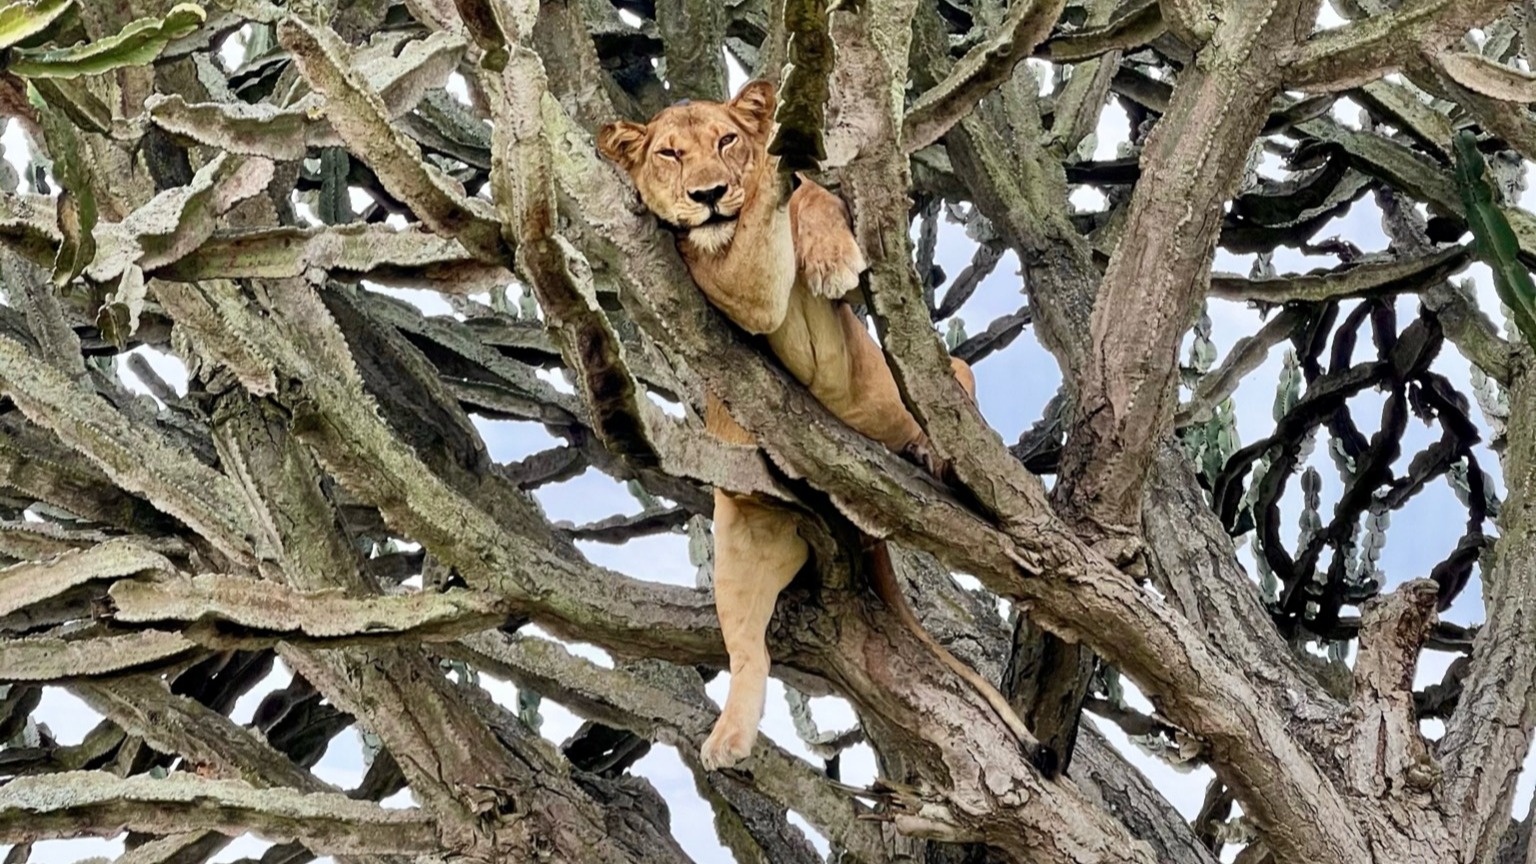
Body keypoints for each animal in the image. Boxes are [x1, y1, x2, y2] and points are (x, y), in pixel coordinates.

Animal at [600, 80, 1004, 771]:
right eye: (669, 155)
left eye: (725, 141)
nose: (709, 194)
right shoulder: (722, 287)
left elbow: (811, 196)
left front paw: (822, 243)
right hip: (738, 547)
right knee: (749, 652)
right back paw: (727, 740)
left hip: (903, 385)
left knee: (954, 381)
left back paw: (932, 455)